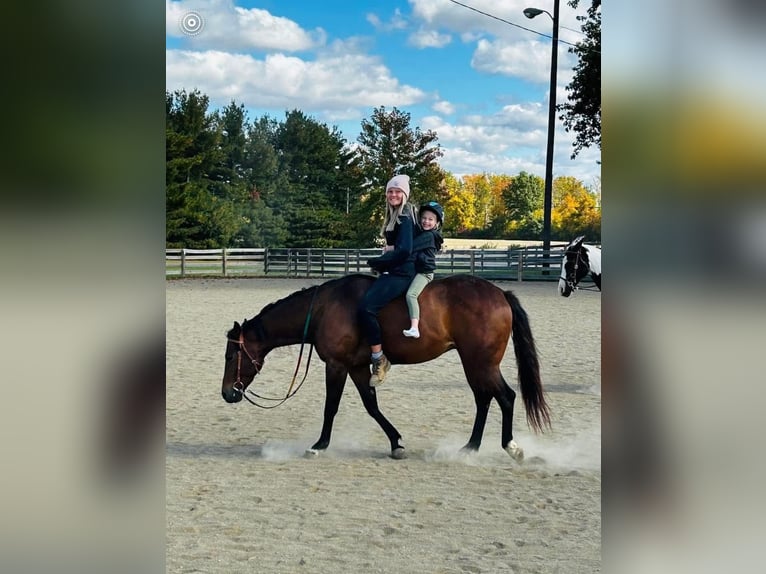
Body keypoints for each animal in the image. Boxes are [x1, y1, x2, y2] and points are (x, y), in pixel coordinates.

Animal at [221, 273, 551, 461]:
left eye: (230, 356)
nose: (227, 393)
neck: (324, 308)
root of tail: (500, 294)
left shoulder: (336, 366)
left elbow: (331, 407)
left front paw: (320, 445)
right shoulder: (356, 367)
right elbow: (372, 406)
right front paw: (396, 443)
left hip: (480, 363)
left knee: (505, 397)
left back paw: (510, 447)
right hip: (475, 364)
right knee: (484, 399)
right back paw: (470, 447)